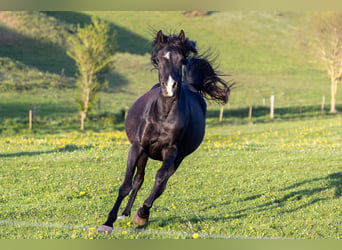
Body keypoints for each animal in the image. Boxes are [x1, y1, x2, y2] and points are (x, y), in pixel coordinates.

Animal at [99, 30, 232, 233]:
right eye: (158, 59)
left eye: (182, 60)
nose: (169, 87)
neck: (163, 115)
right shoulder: (138, 147)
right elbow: (126, 184)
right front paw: (108, 222)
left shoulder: (171, 152)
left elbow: (159, 180)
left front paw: (142, 215)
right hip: (144, 154)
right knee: (138, 180)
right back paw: (125, 213)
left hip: (178, 158)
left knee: (160, 183)